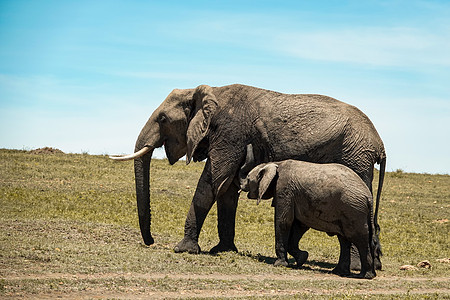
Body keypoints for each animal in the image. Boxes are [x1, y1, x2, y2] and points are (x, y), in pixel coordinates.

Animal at [110, 83, 386, 262]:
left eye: (163, 119)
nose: (150, 241)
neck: (208, 92)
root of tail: (380, 144)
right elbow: (226, 191)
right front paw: (222, 250)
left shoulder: (230, 133)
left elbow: (212, 183)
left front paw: (184, 249)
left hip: (355, 156)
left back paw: (353, 268)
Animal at [243, 161, 376, 280]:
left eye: (248, 178)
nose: (241, 186)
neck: (275, 164)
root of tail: (369, 197)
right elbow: (299, 225)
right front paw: (302, 258)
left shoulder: (284, 190)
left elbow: (284, 221)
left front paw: (280, 264)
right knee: (344, 239)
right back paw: (340, 272)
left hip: (353, 210)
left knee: (358, 239)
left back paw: (364, 276)